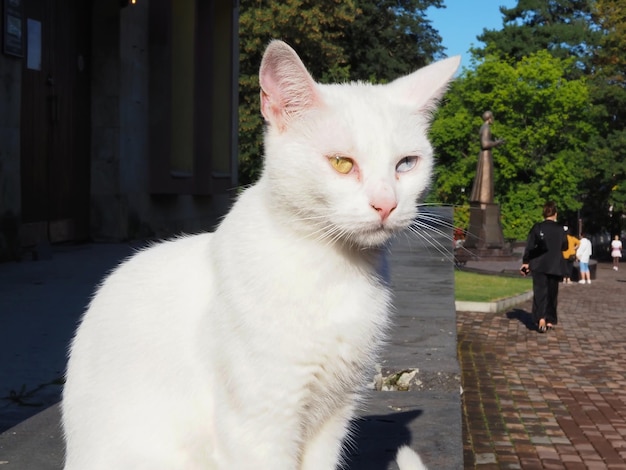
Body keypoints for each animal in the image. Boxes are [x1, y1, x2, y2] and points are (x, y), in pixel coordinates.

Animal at [61, 41, 456, 470]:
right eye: (341, 163)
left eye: (406, 164)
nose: (386, 204)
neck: (333, 268)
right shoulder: (262, 423)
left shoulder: (334, 415)